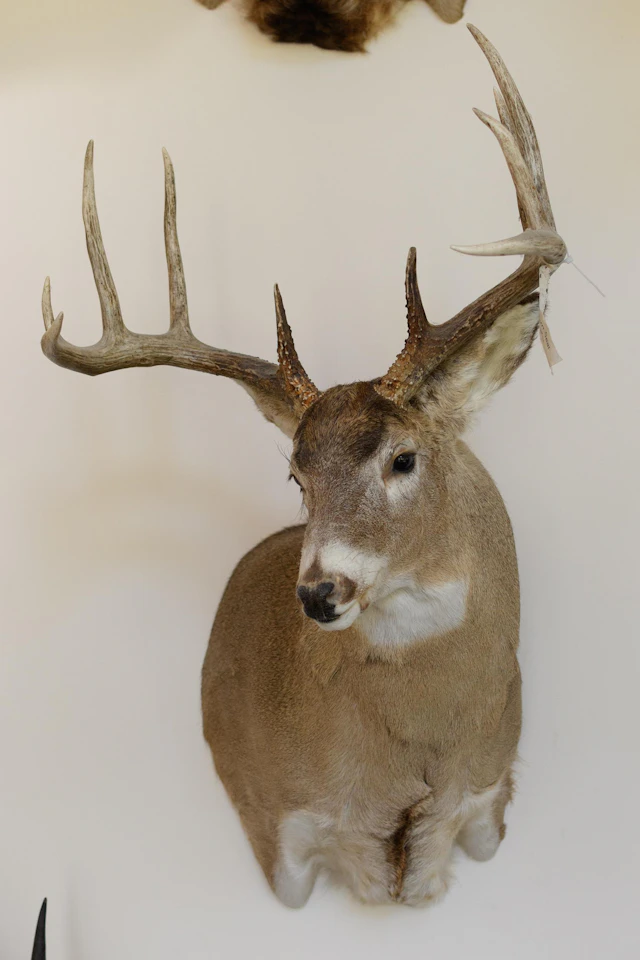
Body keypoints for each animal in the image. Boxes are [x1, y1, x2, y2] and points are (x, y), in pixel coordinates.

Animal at [40, 26, 566, 907]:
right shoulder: (277, 837)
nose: (319, 592)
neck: (417, 765)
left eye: (403, 457)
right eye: (297, 475)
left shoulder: (492, 804)